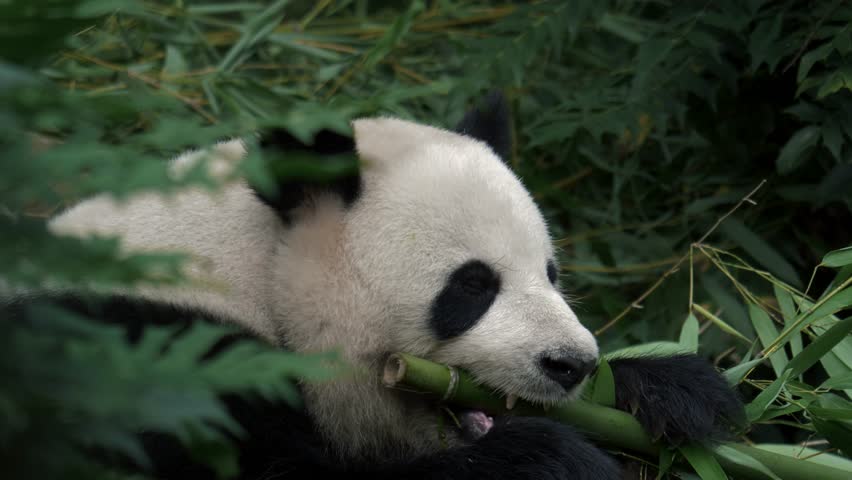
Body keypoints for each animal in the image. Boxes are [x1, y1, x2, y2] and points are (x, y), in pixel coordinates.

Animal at [3, 94, 744, 480]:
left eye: (551, 274)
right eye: (472, 286)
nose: (572, 364)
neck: (251, 272)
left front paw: (675, 391)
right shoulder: (148, 364)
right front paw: (549, 458)